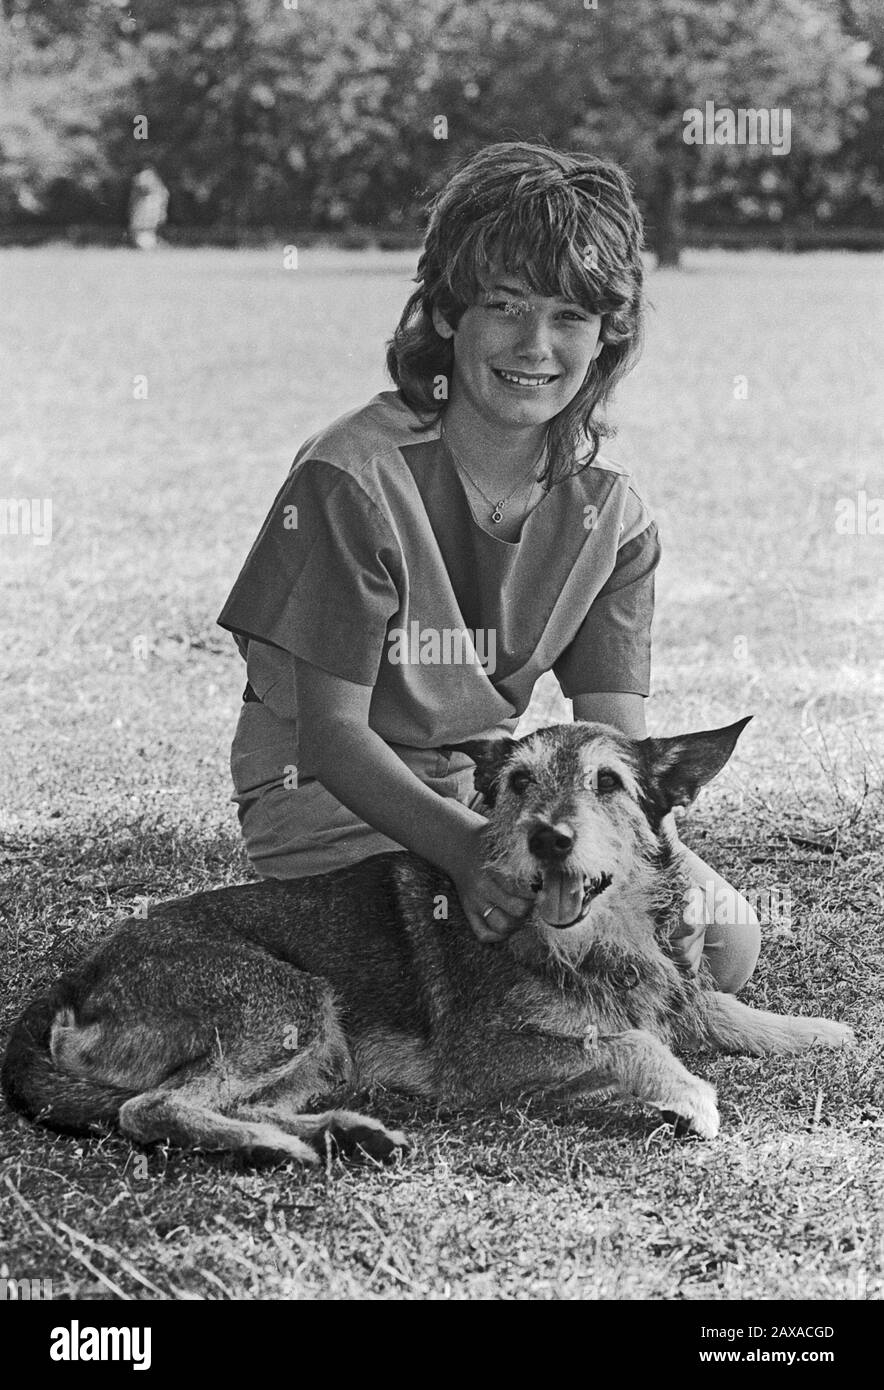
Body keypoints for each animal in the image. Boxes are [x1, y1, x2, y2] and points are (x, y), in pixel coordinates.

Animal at [1, 717, 856, 1162]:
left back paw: (344, 1132)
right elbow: (630, 1043)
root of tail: (79, 973)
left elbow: (712, 1006)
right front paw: (687, 1094)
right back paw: (279, 1148)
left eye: (608, 784)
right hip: (286, 1002)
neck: (595, 938)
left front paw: (818, 1030)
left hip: (322, 1049)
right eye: (518, 783)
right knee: (148, 1108)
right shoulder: (481, 1062)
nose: (548, 839)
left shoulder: (668, 986)